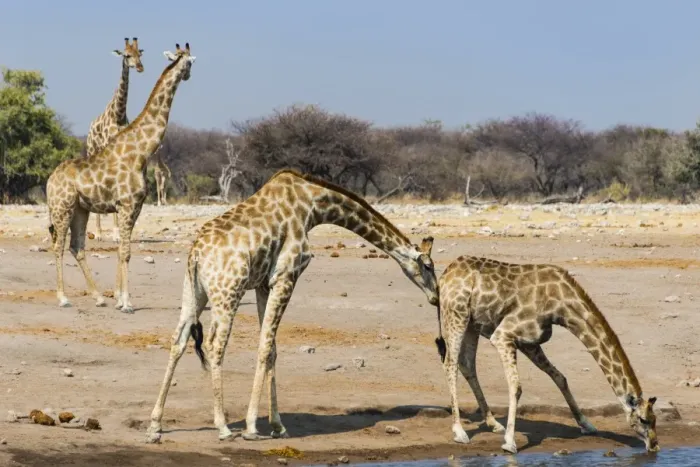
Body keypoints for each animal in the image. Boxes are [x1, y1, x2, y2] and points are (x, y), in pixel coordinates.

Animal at [86, 37, 145, 243]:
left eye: (139, 54)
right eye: (126, 55)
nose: (140, 67)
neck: (118, 115)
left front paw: (118, 233)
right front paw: (113, 233)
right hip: (92, 151)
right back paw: (98, 233)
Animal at [146, 169, 439, 442]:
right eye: (428, 266)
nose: (436, 296)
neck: (313, 206)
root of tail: (196, 253)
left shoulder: (264, 284)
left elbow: (272, 349)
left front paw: (278, 426)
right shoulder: (286, 276)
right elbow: (265, 346)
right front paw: (252, 427)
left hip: (194, 292)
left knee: (178, 340)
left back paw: (155, 425)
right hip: (228, 292)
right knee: (215, 345)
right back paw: (224, 427)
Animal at [434, 255, 659, 454]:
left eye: (655, 419)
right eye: (644, 420)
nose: (655, 446)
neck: (561, 305)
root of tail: (446, 274)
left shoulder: (530, 342)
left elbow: (560, 377)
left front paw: (586, 424)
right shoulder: (503, 335)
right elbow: (516, 387)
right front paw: (509, 443)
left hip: (473, 323)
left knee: (467, 364)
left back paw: (493, 423)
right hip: (456, 314)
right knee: (450, 363)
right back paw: (460, 431)